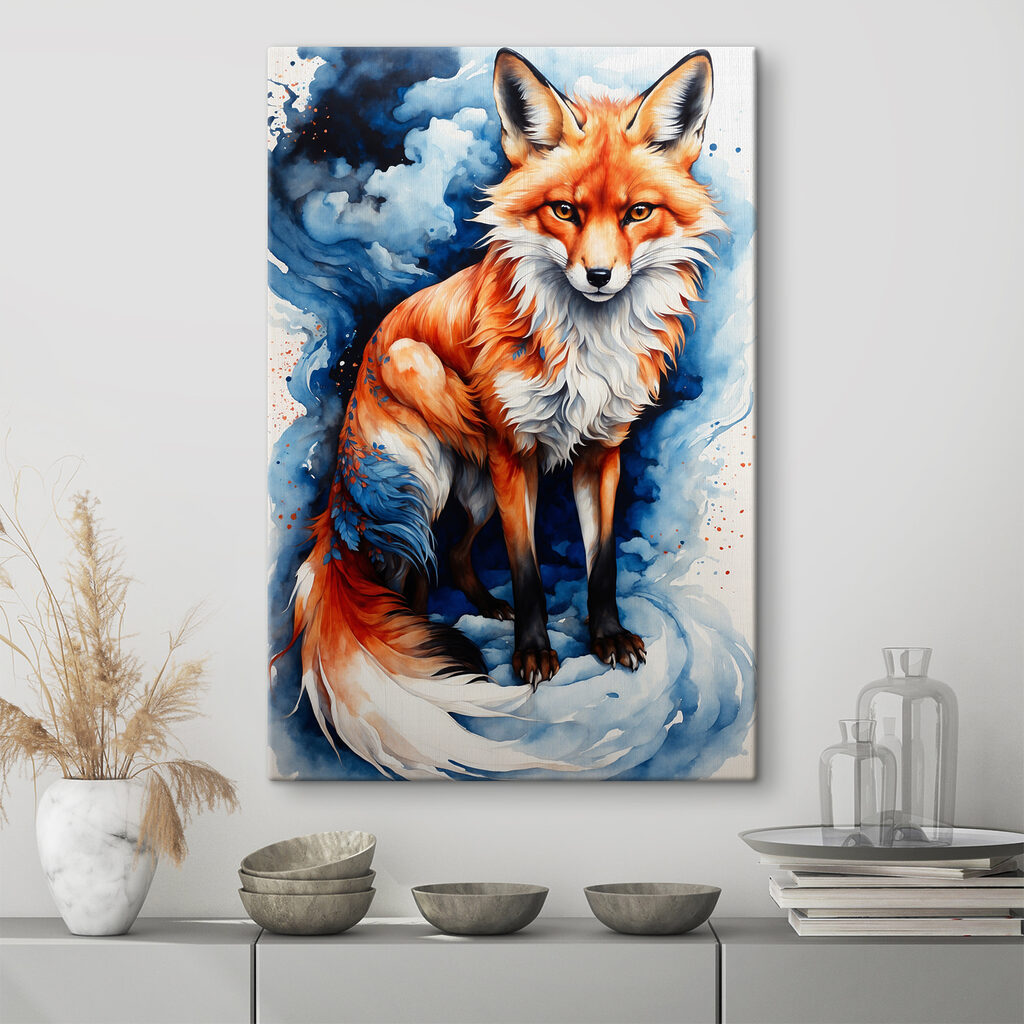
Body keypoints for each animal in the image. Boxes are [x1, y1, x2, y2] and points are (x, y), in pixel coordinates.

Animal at [278, 49, 725, 777]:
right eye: (564, 210)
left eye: (638, 212)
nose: (599, 277)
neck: (586, 346)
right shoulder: (517, 458)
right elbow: (529, 569)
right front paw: (534, 655)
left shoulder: (602, 455)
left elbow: (601, 563)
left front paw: (607, 639)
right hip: (424, 432)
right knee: (410, 571)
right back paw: (430, 632)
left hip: (477, 493)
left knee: (458, 558)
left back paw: (483, 609)